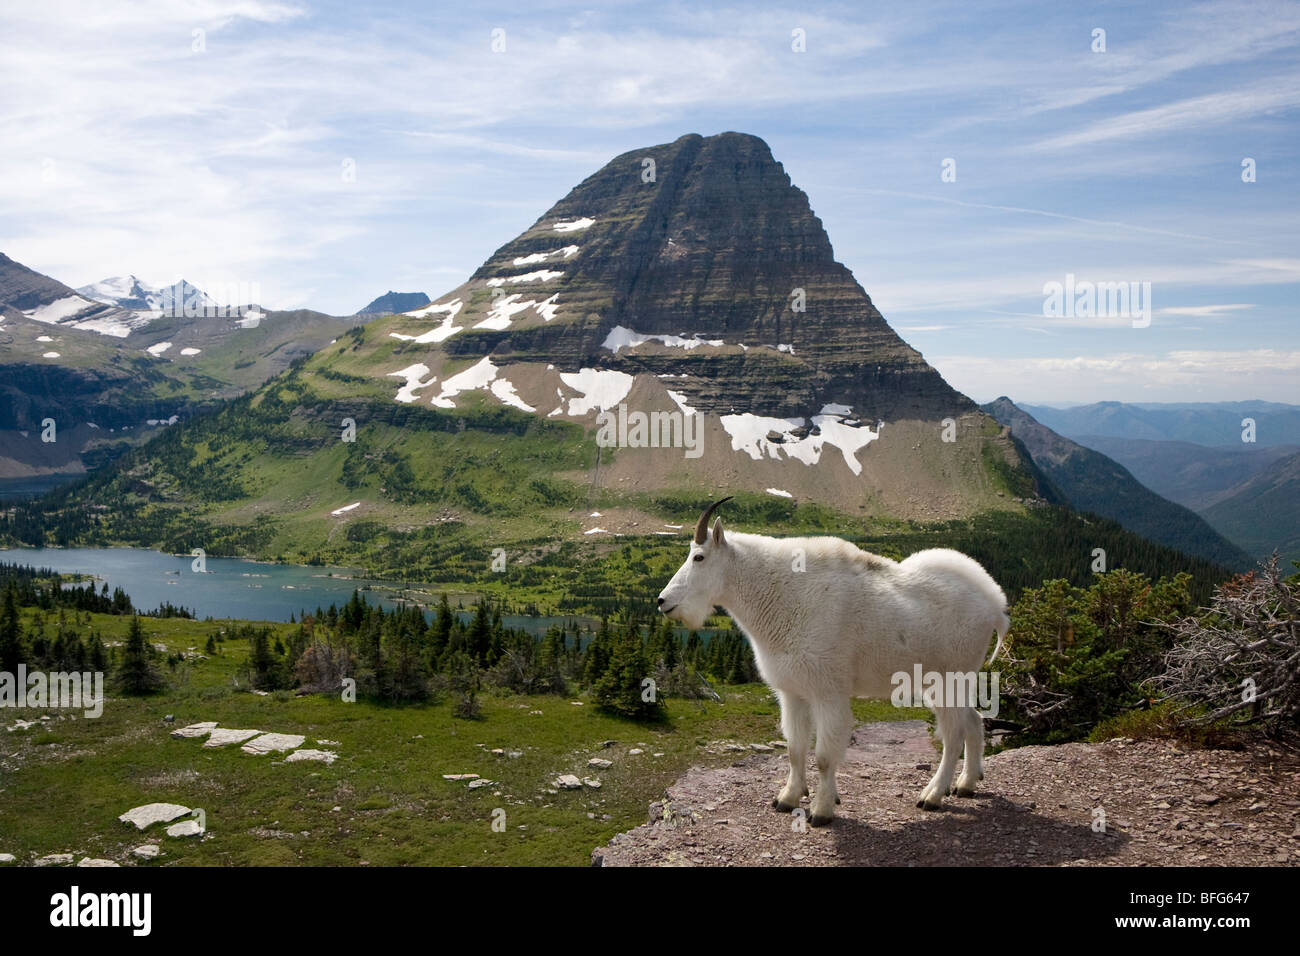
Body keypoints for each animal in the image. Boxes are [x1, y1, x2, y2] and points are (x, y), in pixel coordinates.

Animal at [655, 496, 1008, 827]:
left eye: (699, 557)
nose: (662, 601)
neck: (782, 596)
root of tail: (994, 603)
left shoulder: (828, 692)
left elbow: (824, 756)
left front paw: (822, 810)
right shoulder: (793, 692)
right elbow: (795, 749)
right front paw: (787, 798)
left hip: (950, 678)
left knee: (953, 735)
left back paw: (933, 794)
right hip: (946, 681)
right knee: (974, 720)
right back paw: (967, 784)